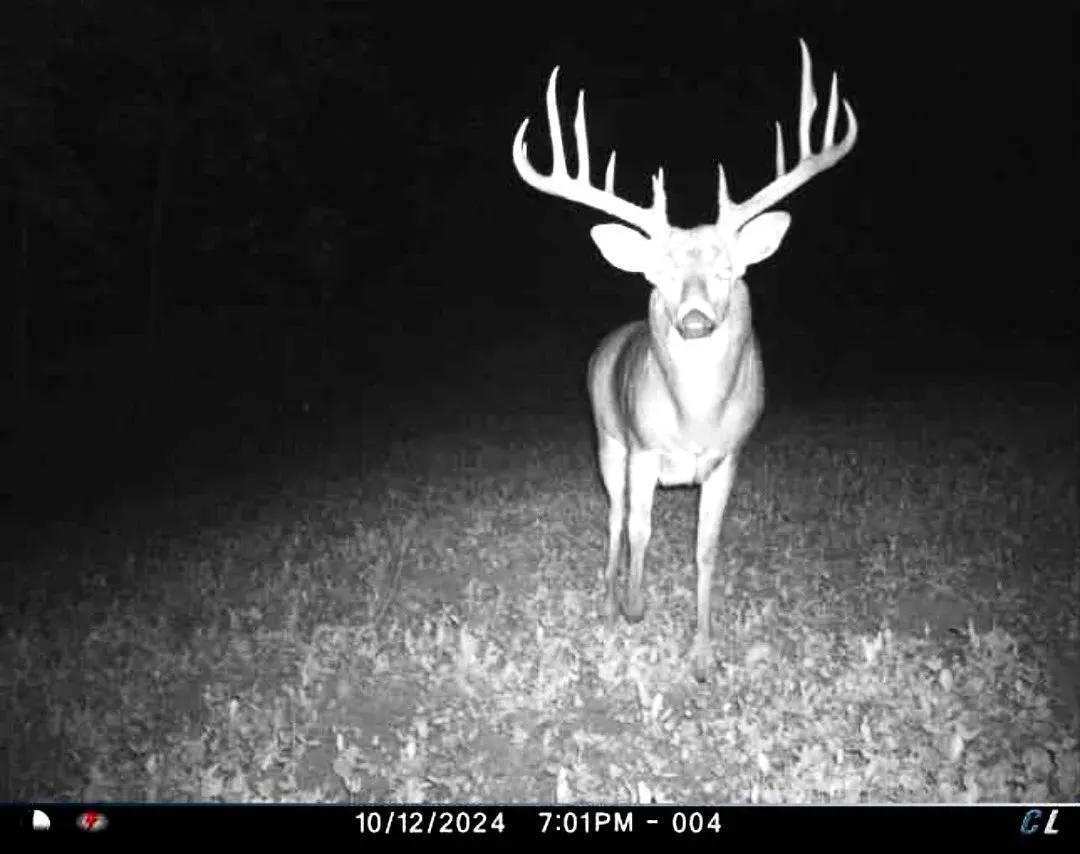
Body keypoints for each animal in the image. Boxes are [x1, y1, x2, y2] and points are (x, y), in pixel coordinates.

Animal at [512, 39, 858, 681]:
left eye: (728, 269)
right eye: (661, 273)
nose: (695, 318)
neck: (695, 419)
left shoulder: (729, 459)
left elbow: (705, 549)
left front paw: (702, 654)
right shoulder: (644, 450)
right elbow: (640, 530)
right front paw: (633, 605)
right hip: (607, 438)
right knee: (614, 518)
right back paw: (608, 598)